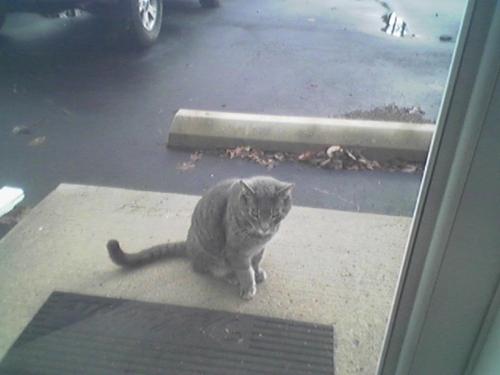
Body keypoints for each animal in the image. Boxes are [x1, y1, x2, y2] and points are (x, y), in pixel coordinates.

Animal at [106, 177, 292, 302]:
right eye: (254, 213)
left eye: (275, 214)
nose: (265, 227)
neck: (257, 238)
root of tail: (188, 245)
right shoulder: (236, 252)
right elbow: (245, 270)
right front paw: (248, 286)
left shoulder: (259, 249)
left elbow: (256, 261)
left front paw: (257, 272)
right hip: (213, 257)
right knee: (206, 269)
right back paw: (231, 276)